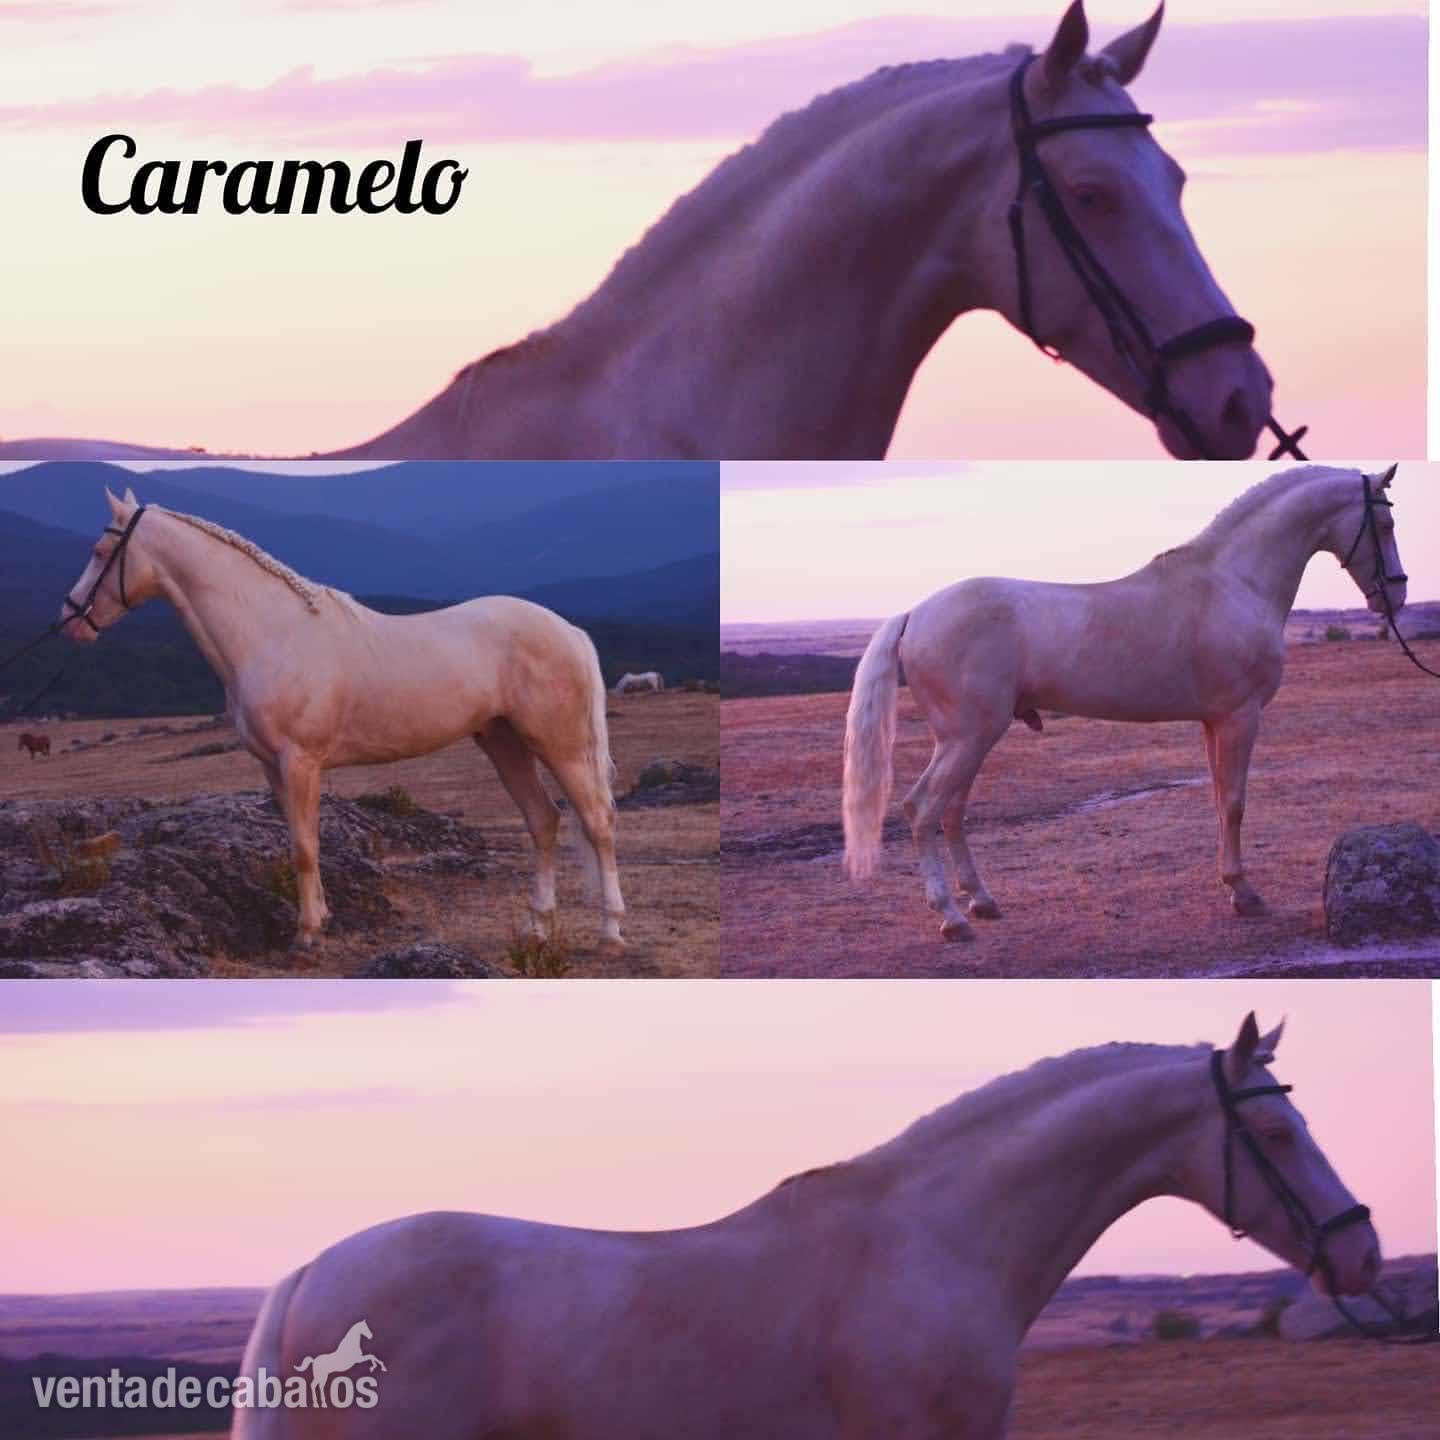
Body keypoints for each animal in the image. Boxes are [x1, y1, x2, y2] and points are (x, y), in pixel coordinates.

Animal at [58, 488, 624, 950]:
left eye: (101, 553)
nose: (69, 618)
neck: (269, 633)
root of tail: (569, 631)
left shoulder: (301, 761)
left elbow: (306, 848)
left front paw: (308, 934)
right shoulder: (272, 767)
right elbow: (297, 839)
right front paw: (320, 919)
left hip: (561, 747)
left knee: (597, 824)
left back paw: (611, 931)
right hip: (504, 742)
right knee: (543, 820)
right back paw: (537, 926)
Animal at [843, 465, 1408, 942]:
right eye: (1383, 523)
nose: (1396, 596)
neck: (1232, 582)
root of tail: (915, 613)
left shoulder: (1212, 721)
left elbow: (1218, 800)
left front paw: (1231, 886)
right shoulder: (1240, 717)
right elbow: (1234, 802)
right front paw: (1245, 894)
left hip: (967, 741)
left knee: (952, 812)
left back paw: (981, 901)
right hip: (968, 737)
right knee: (923, 808)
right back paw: (952, 917)